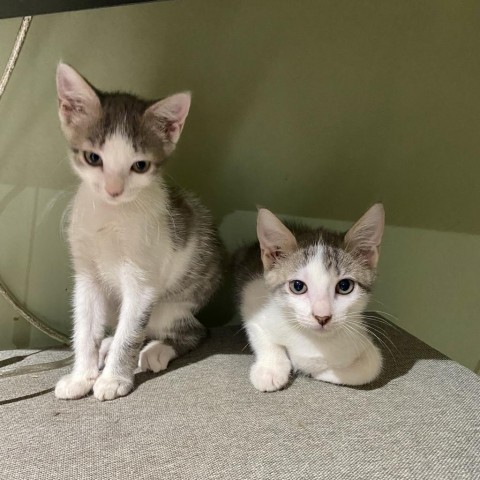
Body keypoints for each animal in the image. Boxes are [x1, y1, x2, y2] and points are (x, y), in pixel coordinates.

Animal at [54, 63, 223, 402]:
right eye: (93, 157)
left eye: (140, 166)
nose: (113, 190)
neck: (111, 216)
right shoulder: (87, 276)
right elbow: (84, 328)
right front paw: (81, 376)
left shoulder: (143, 282)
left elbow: (130, 334)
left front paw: (113, 379)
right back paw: (105, 346)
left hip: (170, 304)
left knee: (192, 330)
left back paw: (156, 350)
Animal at [236, 204, 386, 392]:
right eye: (297, 286)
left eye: (345, 286)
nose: (322, 317)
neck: (313, 340)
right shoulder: (252, 295)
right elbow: (260, 333)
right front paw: (270, 369)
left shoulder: (359, 336)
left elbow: (371, 366)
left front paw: (315, 370)